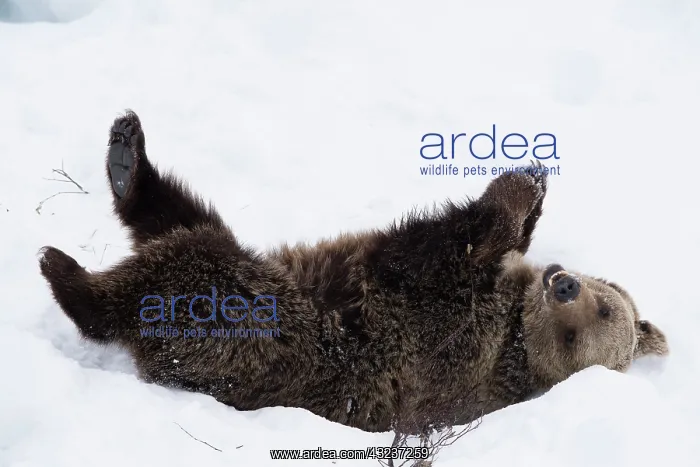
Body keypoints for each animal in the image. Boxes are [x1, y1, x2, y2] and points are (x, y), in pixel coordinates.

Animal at [38, 110, 669, 433]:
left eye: (582, 331)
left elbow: (442, 247)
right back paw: (126, 156)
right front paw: (532, 179)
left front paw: (513, 189)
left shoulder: (433, 323)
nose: (563, 285)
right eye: (607, 301)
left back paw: (66, 274)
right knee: (178, 217)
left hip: (256, 327)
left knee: (186, 270)